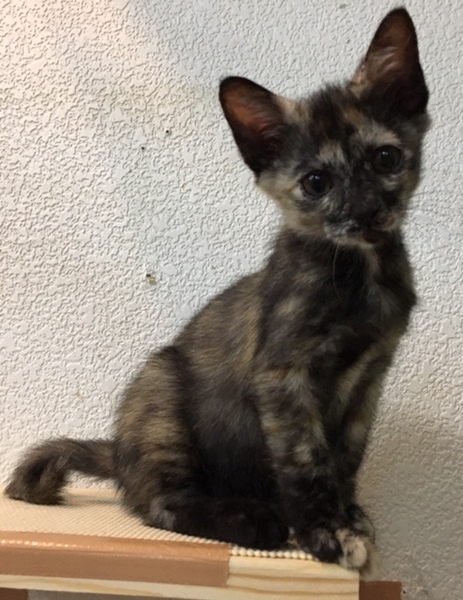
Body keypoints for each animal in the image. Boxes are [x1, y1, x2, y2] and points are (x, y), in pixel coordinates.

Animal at [5, 8, 428, 577]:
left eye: (386, 158)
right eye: (316, 182)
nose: (364, 211)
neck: (361, 274)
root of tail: (118, 451)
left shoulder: (370, 381)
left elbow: (344, 461)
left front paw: (351, 519)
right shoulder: (283, 376)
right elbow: (306, 462)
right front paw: (326, 533)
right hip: (161, 392)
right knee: (162, 504)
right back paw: (252, 519)